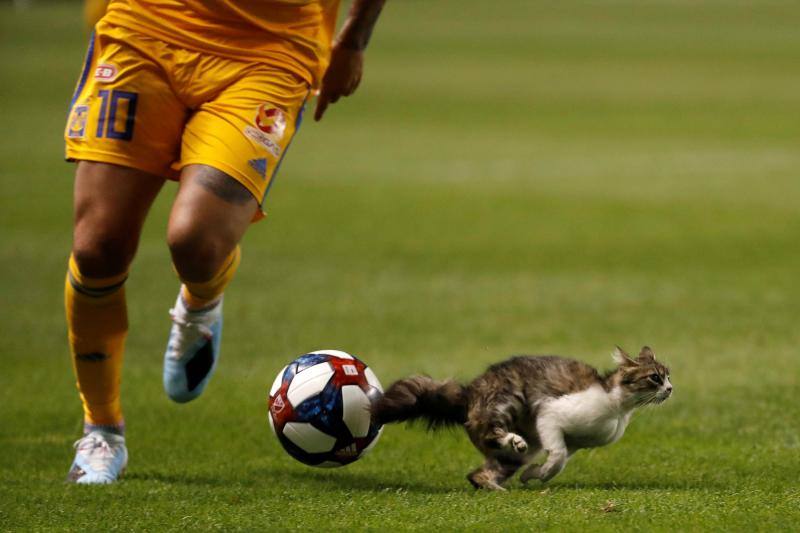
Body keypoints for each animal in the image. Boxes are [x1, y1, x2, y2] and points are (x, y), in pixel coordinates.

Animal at [372, 344, 672, 490]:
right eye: (655, 378)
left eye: (669, 375)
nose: (671, 389)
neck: (617, 407)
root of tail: (469, 392)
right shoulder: (550, 415)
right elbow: (557, 457)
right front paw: (540, 473)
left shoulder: (576, 443)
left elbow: (559, 462)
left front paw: (533, 475)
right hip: (508, 400)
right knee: (492, 433)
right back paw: (512, 441)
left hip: (516, 453)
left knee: (476, 475)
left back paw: (497, 488)